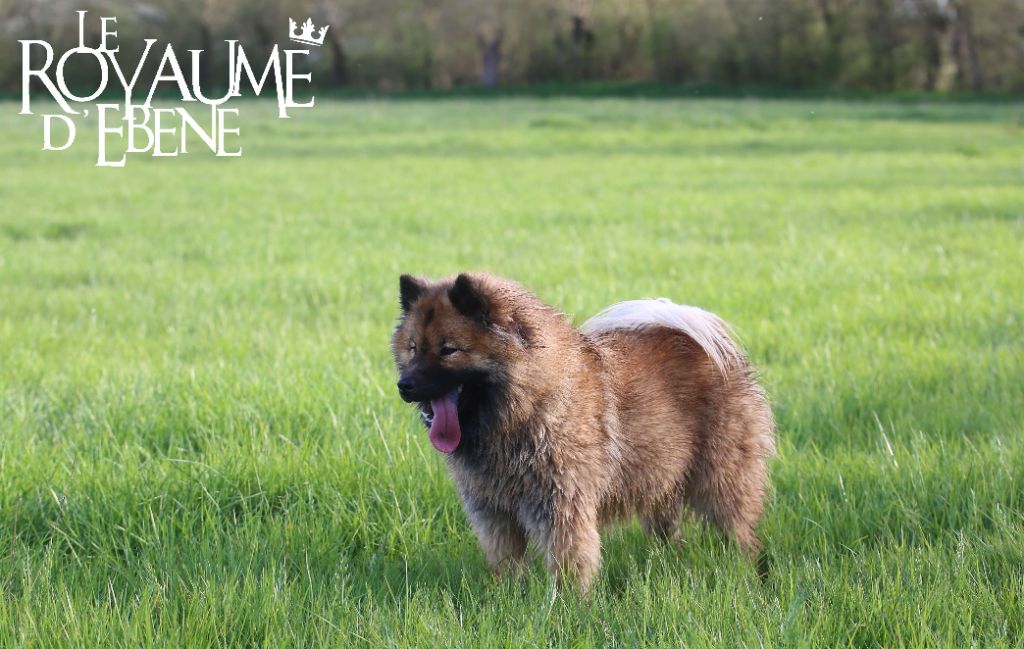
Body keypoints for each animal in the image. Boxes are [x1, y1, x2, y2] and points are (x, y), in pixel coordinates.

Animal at [391, 270, 774, 589]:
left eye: (448, 350)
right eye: (413, 348)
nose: (404, 385)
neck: (524, 408)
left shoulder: (562, 507)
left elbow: (570, 563)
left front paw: (568, 608)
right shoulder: (493, 512)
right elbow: (506, 563)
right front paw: (506, 597)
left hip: (722, 482)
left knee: (743, 534)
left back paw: (751, 574)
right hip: (659, 479)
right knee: (669, 534)